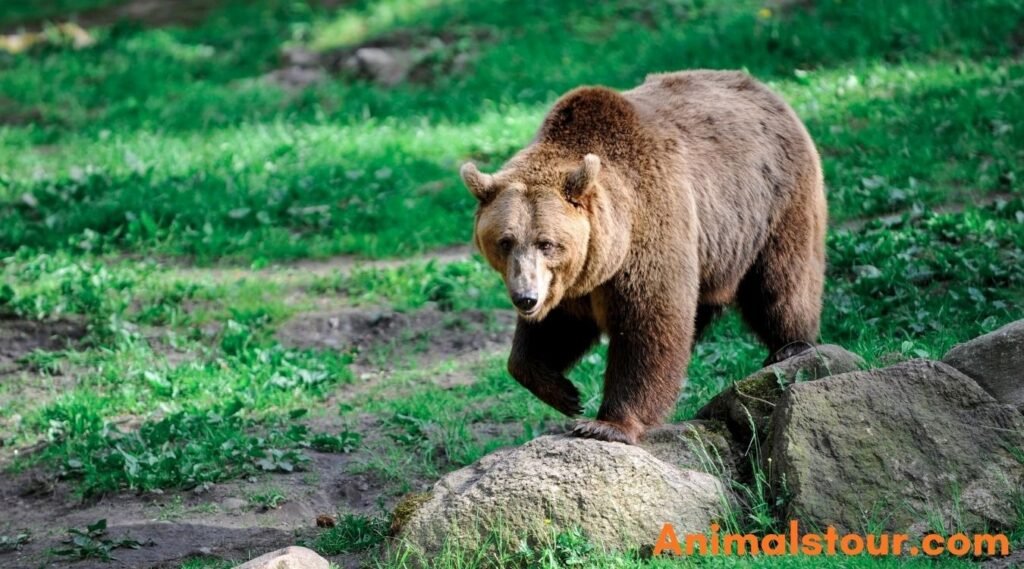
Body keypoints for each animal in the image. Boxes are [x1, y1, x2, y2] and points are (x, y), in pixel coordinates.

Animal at [460, 70, 827, 444]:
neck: (609, 249)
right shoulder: (571, 281)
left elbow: (649, 325)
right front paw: (565, 393)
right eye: (505, 242)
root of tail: (764, 89)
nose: (526, 298)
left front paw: (605, 424)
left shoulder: (649, 231)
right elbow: (552, 331)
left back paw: (791, 346)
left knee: (780, 283)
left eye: (546, 243)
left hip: (773, 203)